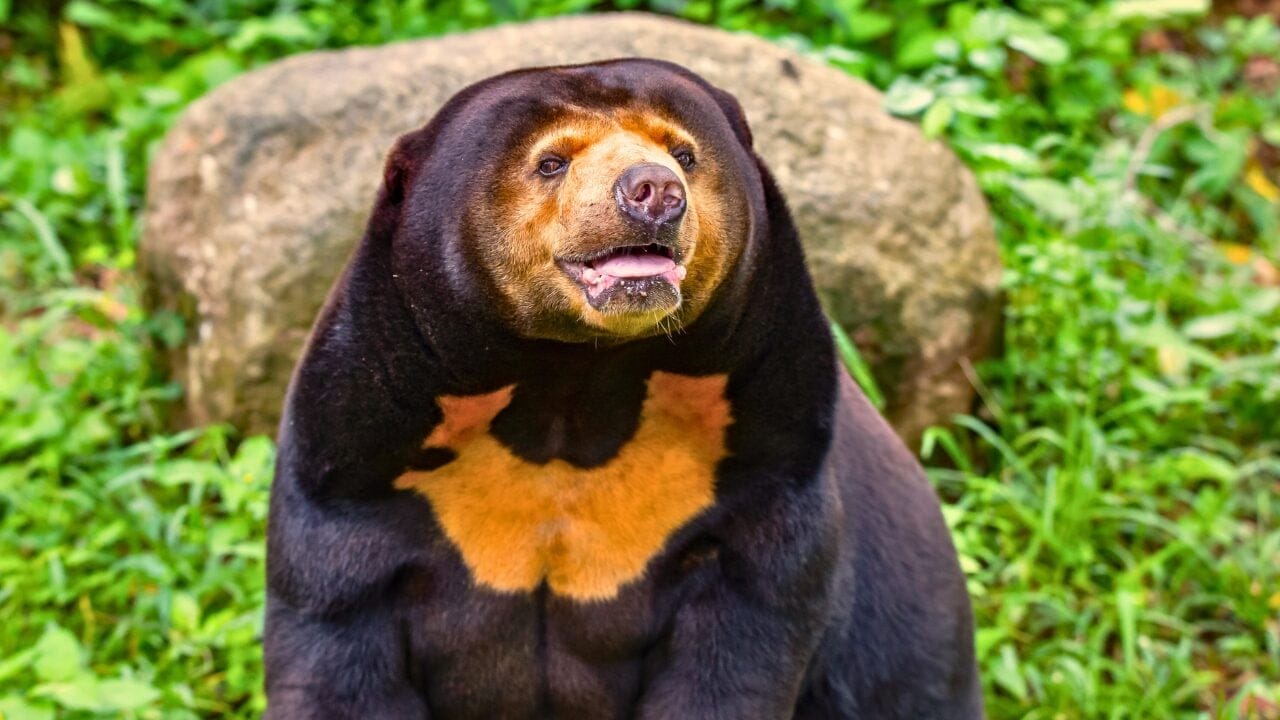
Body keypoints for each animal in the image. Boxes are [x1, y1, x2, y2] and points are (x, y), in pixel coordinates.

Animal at [264, 58, 983, 719]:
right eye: (550, 161)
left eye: (684, 153)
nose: (653, 190)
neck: (571, 385)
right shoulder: (356, 461)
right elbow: (335, 641)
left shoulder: (770, 455)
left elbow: (736, 656)